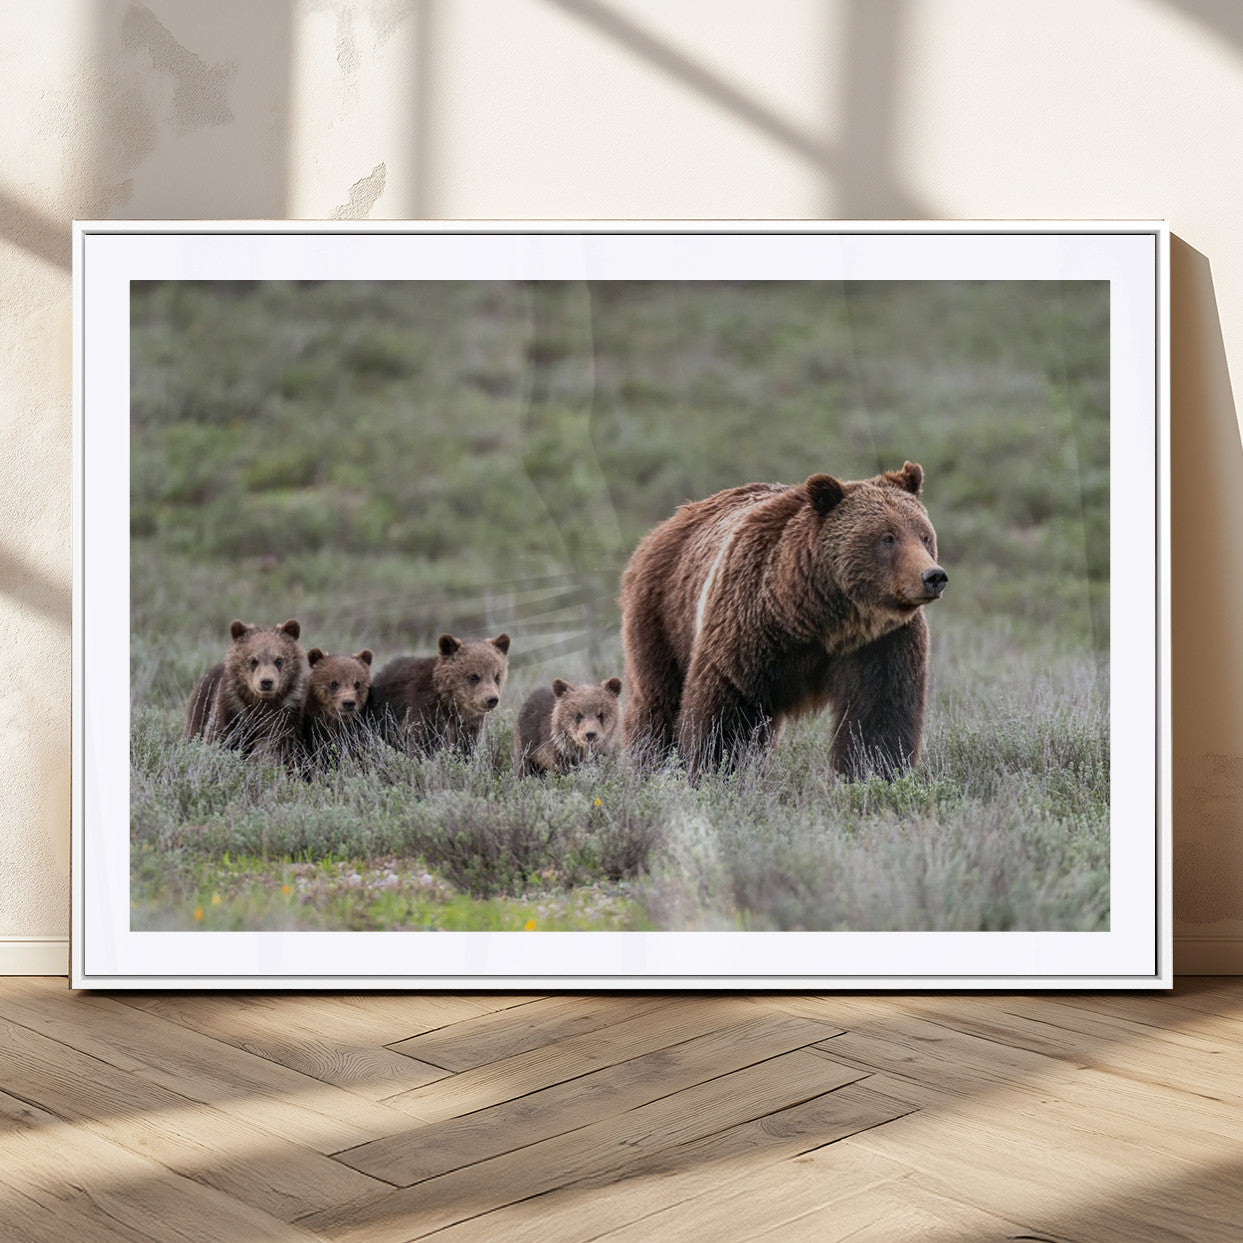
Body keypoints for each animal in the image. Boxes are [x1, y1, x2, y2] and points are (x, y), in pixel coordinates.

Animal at [184, 619, 310, 762]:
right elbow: (218, 735)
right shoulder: (231, 708)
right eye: (253, 660)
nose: (266, 682)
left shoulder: (287, 713)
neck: (261, 702)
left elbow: (281, 744)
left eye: (279, 660)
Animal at [368, 633, 510, 756]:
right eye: (474, 676)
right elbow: (425, 744)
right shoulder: (426, 711)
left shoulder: (468, 725)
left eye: (497, 676)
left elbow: (466, 746)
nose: (491, 699)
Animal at [619, 461, 947, 779]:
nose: (933, 576)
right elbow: (727, 712)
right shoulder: (748, 627)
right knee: (657, 700)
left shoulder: (881, 642)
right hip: (664, 615)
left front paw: (873, 773)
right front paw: (715, 770)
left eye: (924, 535)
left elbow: (879, 716)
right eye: (887, 537)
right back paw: (647, 762)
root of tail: (667, 524)